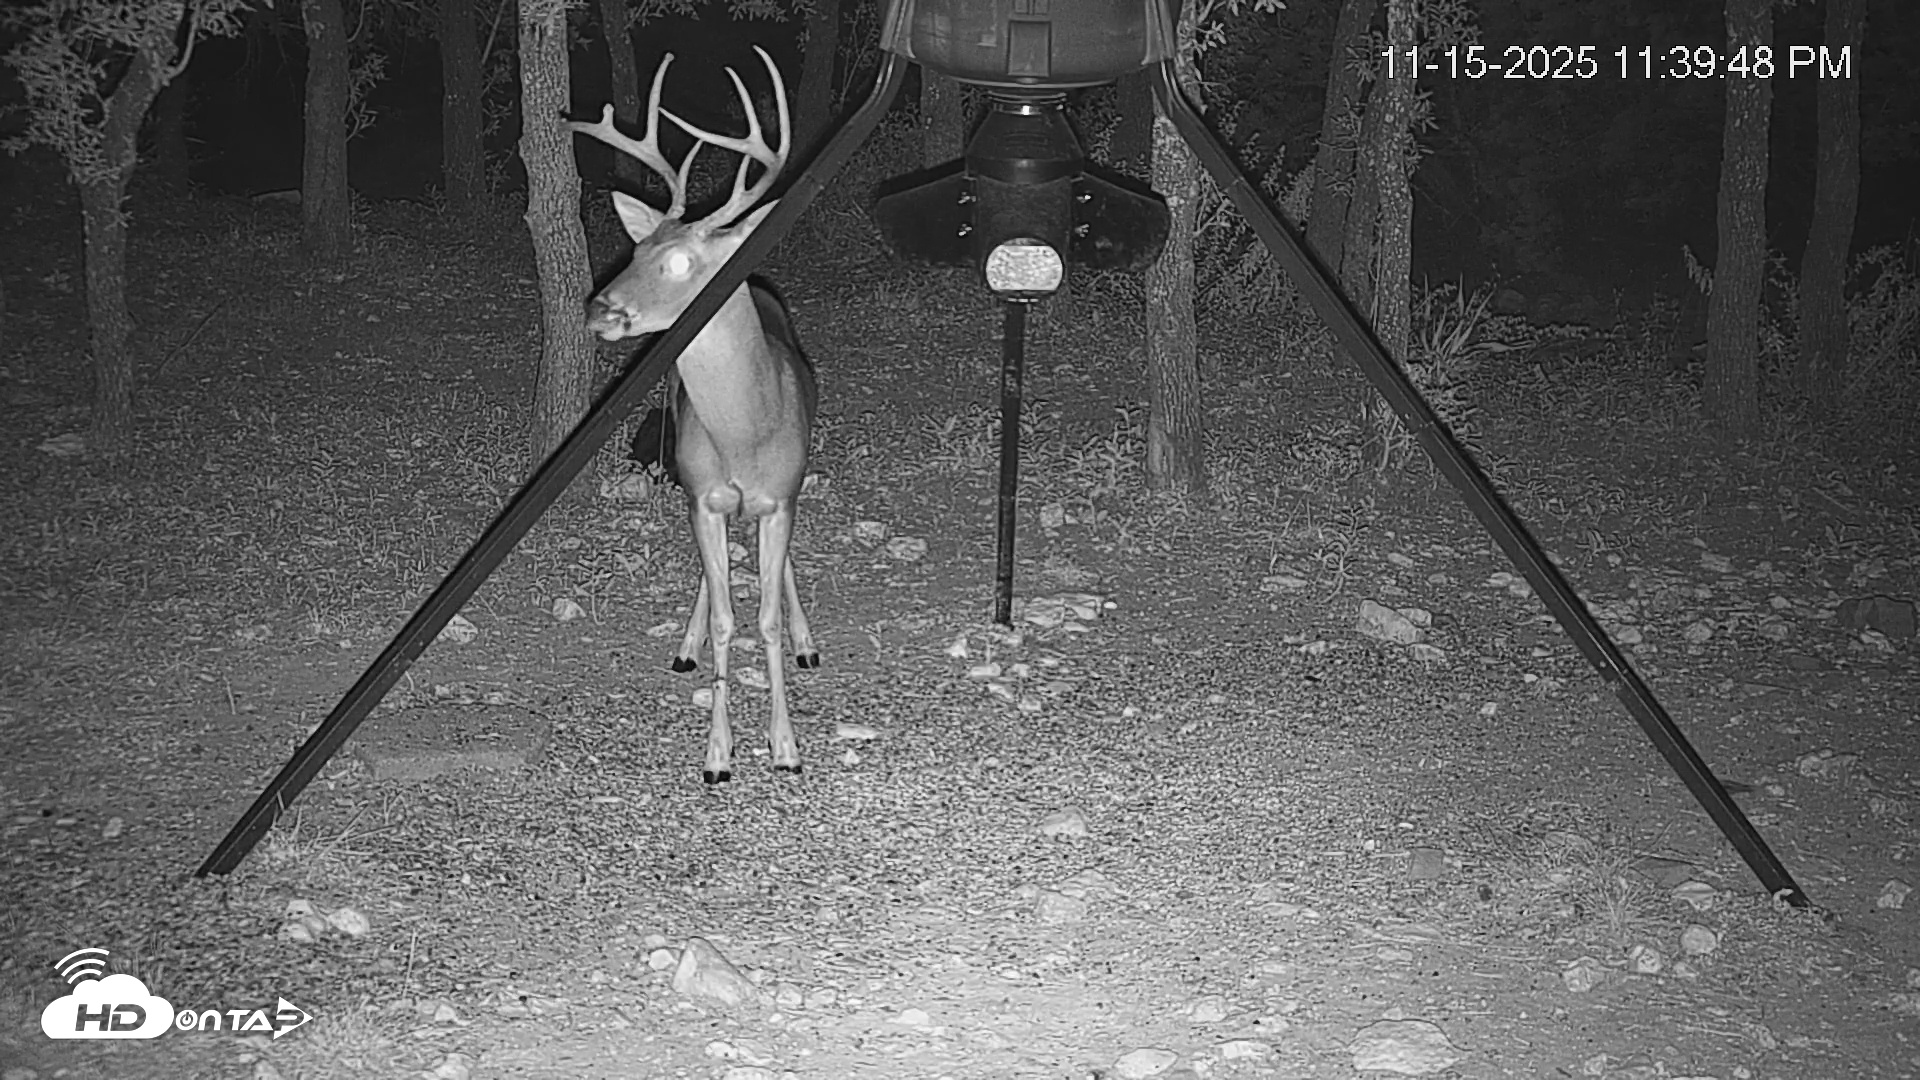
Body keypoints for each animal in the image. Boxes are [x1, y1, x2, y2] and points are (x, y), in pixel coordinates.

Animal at [569, 46, 820, 784]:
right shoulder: (703, 496)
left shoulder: (781, 496)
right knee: (714, 587)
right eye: (636, 249)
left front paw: (786, 748)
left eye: (681, 260)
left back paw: (807, 641)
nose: (598, 308)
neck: (746, 432)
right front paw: (718, 756)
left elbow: (765, 616)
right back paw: (685, 646)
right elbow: (726, 620)